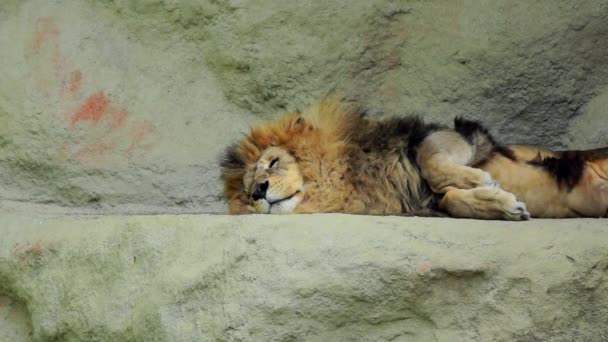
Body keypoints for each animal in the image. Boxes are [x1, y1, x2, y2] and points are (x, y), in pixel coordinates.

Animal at [222, 97, 608, 220]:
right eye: (245, 189)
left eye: (272, 163)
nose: (258, 192)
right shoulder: (422, 202)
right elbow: (453, 201)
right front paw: (502, 204)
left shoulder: (455, 134)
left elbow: (429, 161)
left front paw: (480, 181)